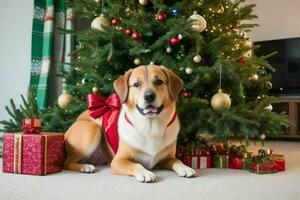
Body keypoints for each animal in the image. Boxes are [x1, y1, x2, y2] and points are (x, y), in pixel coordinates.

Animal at [64, 65, 196, 182]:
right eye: (136, 84)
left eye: (159, 82)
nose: (149, 96)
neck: (150, 127)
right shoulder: (118, 161)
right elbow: (136, 165)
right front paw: (144, 172)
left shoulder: (167, 158)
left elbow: (176, 160)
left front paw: (185, 167)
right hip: (92, 128)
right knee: (67, 162)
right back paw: (85, 167)